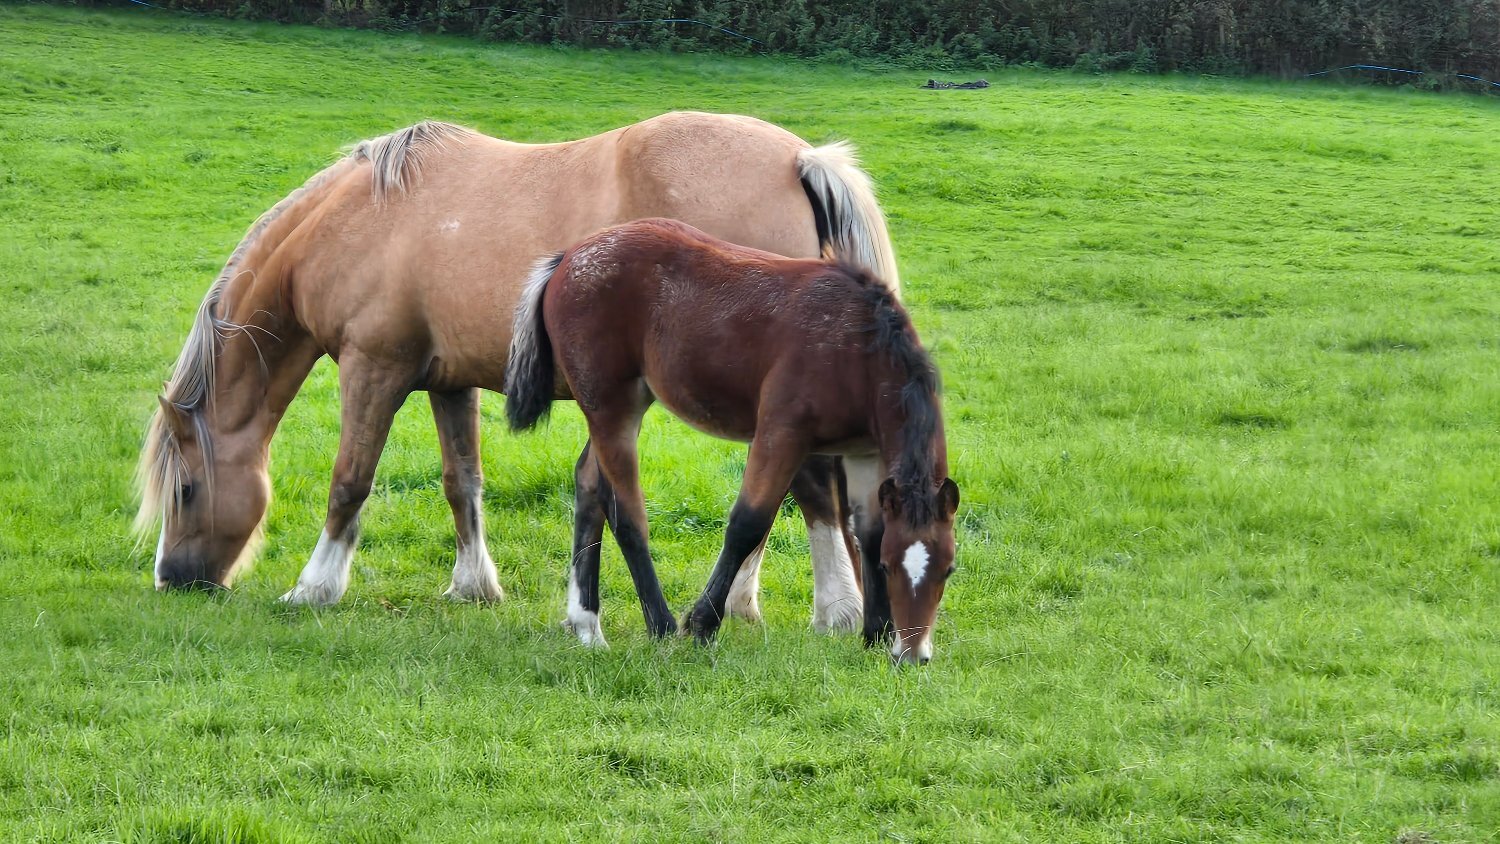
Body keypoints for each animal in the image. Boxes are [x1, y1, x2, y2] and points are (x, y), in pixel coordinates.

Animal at [134, 112, 901, 635]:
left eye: (188, 489)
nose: (172, 579)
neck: (363, 217)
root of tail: (799, 159)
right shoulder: (447, 381)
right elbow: (462, 483)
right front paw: (474, 585)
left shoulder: (372, 367)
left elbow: (350, 482)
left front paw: (315, 587)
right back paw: (754, 603)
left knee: (807, 485)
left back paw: (831, 608)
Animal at [505, 219, 958, 664]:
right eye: (890, 567)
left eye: (948, 569)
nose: (913, 655)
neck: (859, 349)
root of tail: (567, 258)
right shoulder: (781, 433)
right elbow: (747, 523)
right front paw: (702, 624)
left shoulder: (863, 453)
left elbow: (870, 530)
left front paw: (876, 633)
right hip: (611, 407)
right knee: (625, 512)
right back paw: (661, 624)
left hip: (625, 406)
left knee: (588, 482)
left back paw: (587, 624)